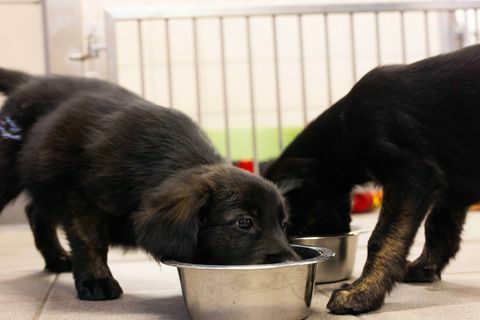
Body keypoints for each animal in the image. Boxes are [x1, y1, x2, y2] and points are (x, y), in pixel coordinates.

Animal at [0, 67, 296, 300]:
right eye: (244, 223)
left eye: (283, 225)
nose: (290, 260)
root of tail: (31, 81)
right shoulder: (80, 198)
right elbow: (90, 241)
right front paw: (97, 281)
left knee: (34, 210)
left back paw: (56, 258)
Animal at [264, 43, 480, 314]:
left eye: (295, 228)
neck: (342, 128)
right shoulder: (453, 187)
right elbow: (439, 228)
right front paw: (423, 267)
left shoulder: (411, 172)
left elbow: (381, 238)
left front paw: (361, 293)